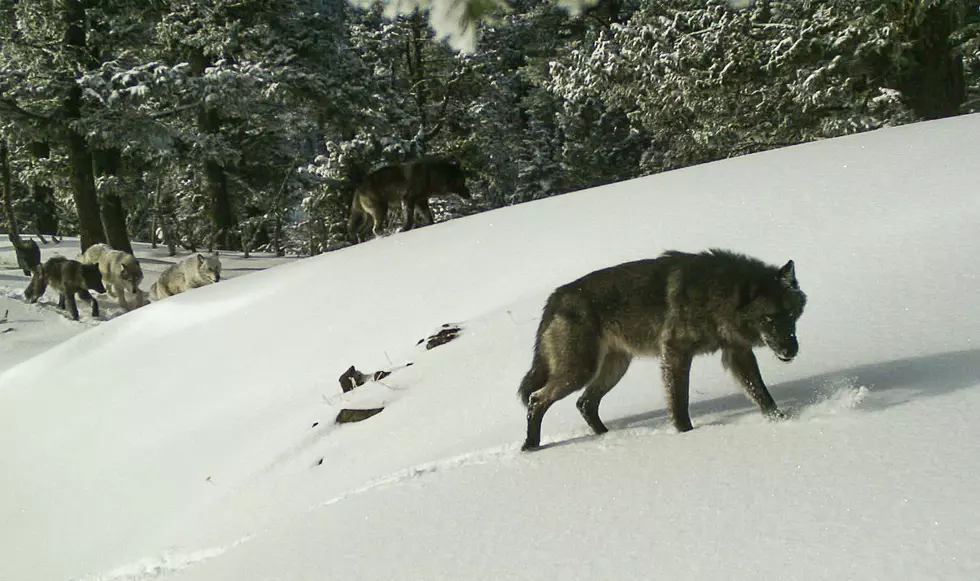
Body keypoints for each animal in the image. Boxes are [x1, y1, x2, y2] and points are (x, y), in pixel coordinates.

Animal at [516, 247, 808, 450]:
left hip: (614, 368)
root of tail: (556, 297)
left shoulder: (737, 353)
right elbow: (679, 402)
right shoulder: (676, 353)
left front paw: (781, 421)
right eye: (768, 319)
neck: (716, 294)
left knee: (585, 403)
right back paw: (530, 447)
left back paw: (608, 437)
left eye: (791, 315)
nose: (791, 350)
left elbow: (762, 395)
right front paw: (686, 435)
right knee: (537, 400)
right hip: (580, 371)